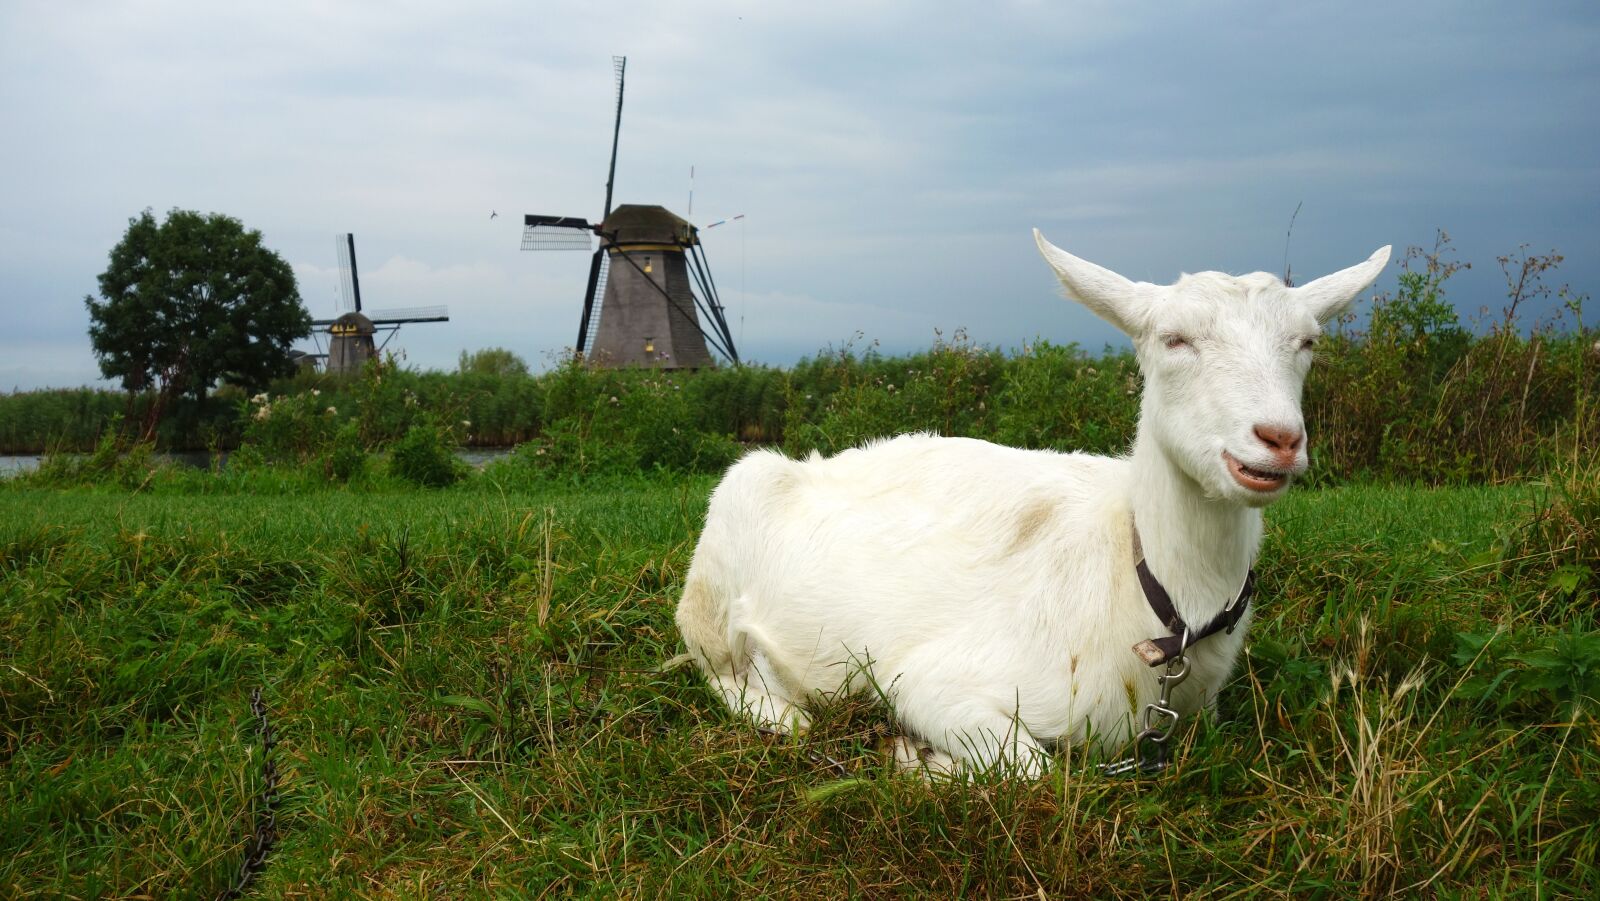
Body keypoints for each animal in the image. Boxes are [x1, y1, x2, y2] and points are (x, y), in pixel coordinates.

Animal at [676, 231, 1390, 776]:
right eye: (1173, 339)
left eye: (1308, 342)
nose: (1279, 440)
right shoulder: (931, 679)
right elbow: (1032, 770)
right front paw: (918, 760)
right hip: (717, 559)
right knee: (718, 665)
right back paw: (783, 710)